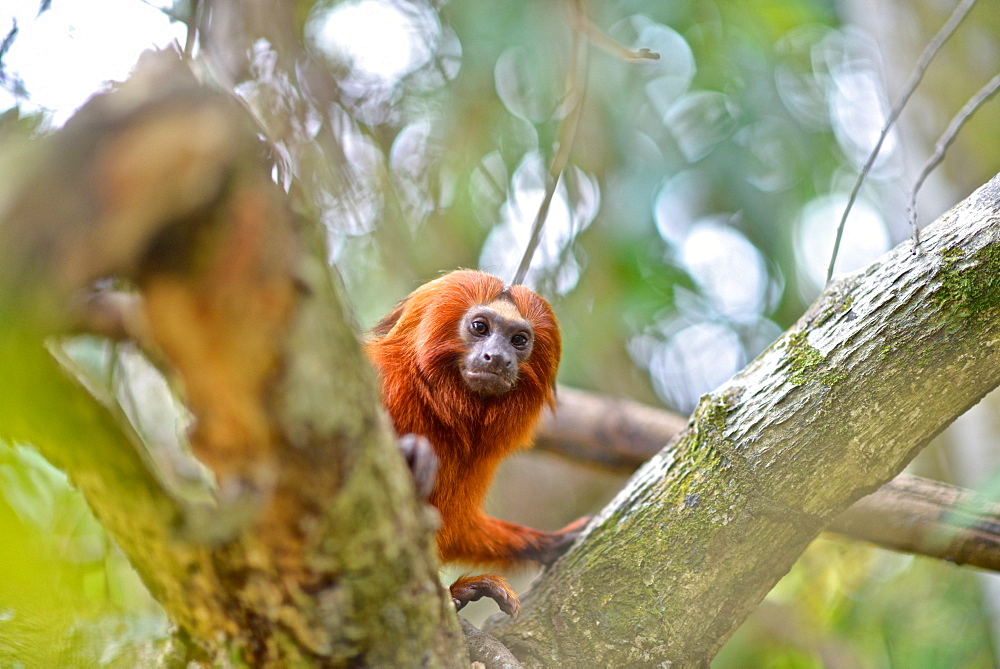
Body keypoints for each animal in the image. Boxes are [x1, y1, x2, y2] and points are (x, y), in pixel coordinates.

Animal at [366, 270, 584, 616]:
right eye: (480, 327)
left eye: (518, 340)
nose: (497, 358)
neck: (435, 401)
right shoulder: (383, 378)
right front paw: (411, 454)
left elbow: (458, 527)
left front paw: (544, 543)